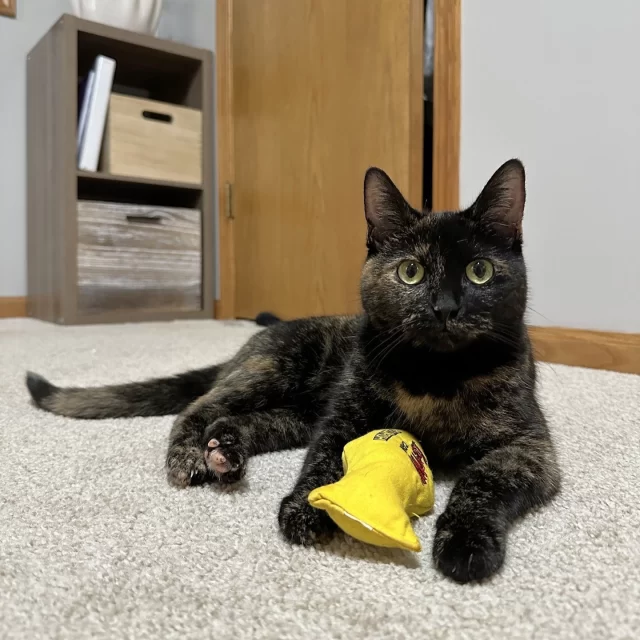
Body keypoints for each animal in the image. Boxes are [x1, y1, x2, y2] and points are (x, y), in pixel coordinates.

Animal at [27, 161, 560, 584]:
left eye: (479, 272)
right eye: (411, 272)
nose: (445, 307)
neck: (435, 377)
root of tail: (257, 337)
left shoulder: (529, 447)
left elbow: (482, 481)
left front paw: (467, 544)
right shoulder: (343, 419)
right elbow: (324, 460)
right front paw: (305, 507)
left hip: (295, 413)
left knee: (243, 421)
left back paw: (225, 451)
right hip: (273, 373)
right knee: (200, 406)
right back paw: (193, 455)